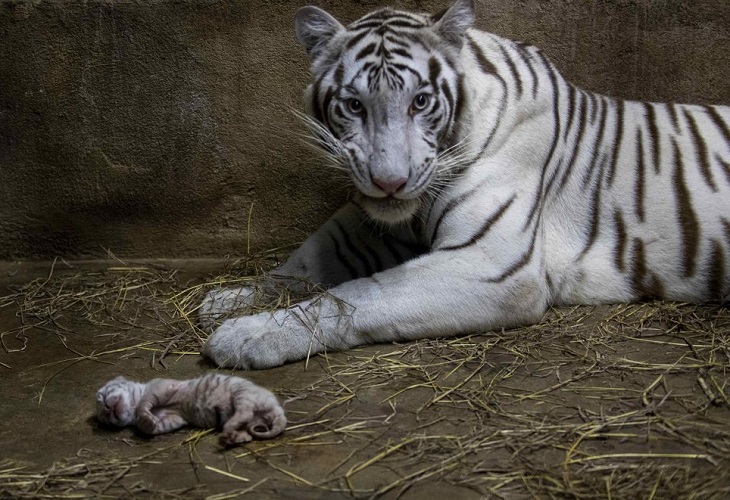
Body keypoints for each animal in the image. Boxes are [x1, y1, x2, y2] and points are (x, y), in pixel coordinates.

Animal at [199, 0, 728, 368]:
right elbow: (305, 261)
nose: (389, 183)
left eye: (420, 101)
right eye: (353, 105)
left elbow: (358, 294)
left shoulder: (494, 264)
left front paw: (245, 335)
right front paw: (228, 298)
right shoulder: (374, 224)